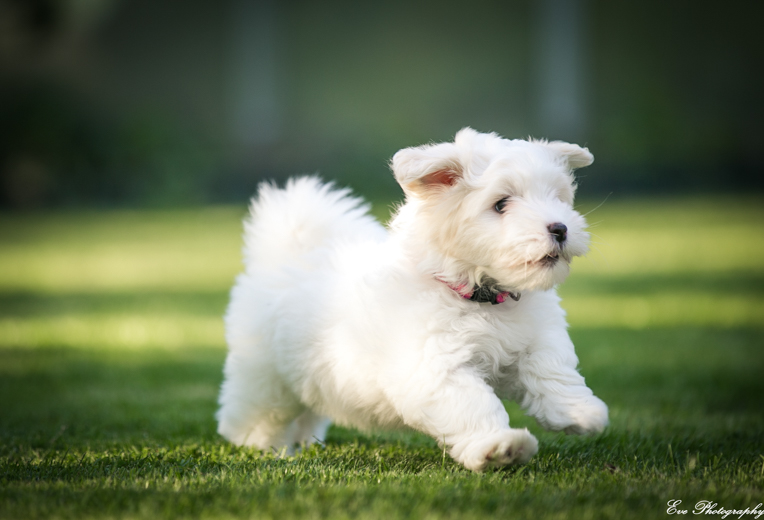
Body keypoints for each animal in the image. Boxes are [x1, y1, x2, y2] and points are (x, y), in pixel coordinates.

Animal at [216, 129, 608, 472]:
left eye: (557, 197)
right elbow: (473, 404)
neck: (479, 296)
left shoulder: (535, 340)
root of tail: (291, 253)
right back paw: (262, 444)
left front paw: (579, 411)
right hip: (265, 376)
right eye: (501, 205)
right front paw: (498, 446)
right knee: (256, 412)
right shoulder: (436, 368)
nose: (560, 228)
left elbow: (551, 371)